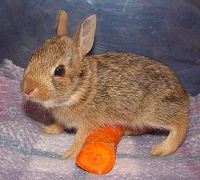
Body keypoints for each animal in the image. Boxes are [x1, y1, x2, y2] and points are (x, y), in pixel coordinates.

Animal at [21, 10, 190, 159]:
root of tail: (184, 94)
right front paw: (48, 129)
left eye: (59, 70)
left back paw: (161, 149)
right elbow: (60, 125)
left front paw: (69, 154)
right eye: (33, 56)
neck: (82, 89)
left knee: (181, 123)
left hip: (154, 112)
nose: (27, 89)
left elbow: (80, 138)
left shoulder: (87, 123)